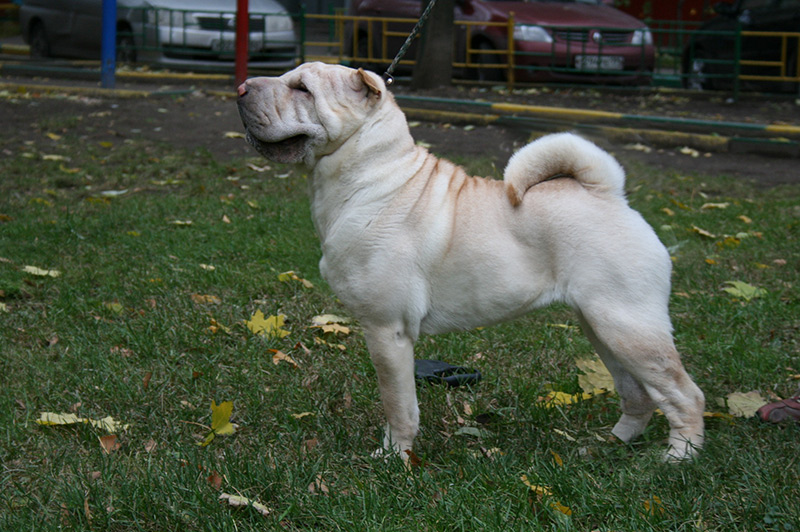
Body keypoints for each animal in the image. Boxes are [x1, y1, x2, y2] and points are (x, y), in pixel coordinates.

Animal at [237, 62, 705, 461]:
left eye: (302, 89)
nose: (240, 88)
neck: (371, 176)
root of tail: (610, 195)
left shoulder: (388, 331)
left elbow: (398, 403)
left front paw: (394, 456)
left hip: (628, 326)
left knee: (684, 395)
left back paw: (677, 457)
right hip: (601, 326)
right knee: (638, 394)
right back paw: (610, 443)